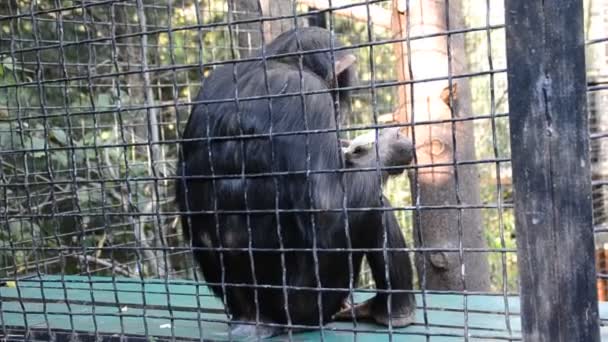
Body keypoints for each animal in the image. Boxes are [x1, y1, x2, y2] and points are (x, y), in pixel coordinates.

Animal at [173, 28, 416, 338]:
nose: (341, 110)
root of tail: (256, 320)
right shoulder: (307, 95)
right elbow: (328, 205)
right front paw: (391, 145)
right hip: (309, 302)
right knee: (373, 206)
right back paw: (394, 311)